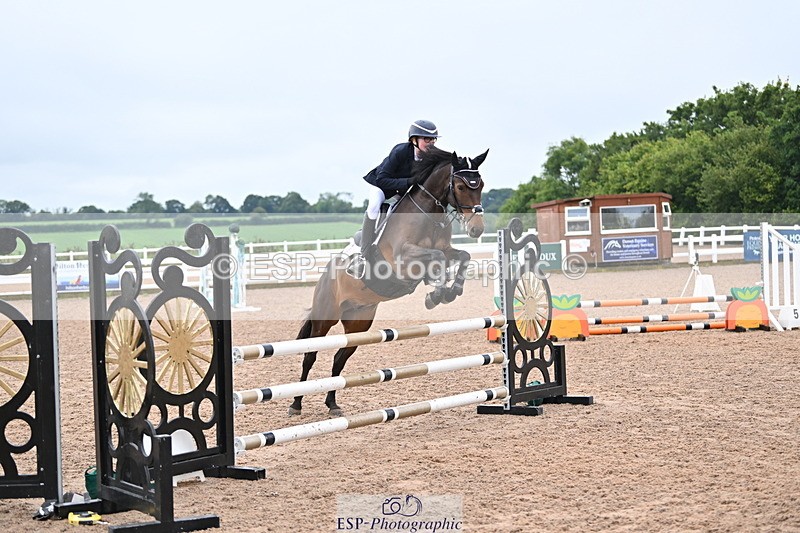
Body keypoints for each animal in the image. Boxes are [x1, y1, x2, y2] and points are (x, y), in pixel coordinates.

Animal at [289, 145, 489, 417]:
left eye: (480, 185)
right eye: (460, 187)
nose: (477, 230)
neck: (428, 215)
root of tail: (322, 280)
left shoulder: (446, 250)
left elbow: (462, 256)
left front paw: (449, 291)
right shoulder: (403, 260)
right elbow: (436, 260)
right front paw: (436, 292)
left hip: (358, 323)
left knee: (339, 360)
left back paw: (332, 404)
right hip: (325, 317)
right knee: (310, 355)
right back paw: (296, 403)